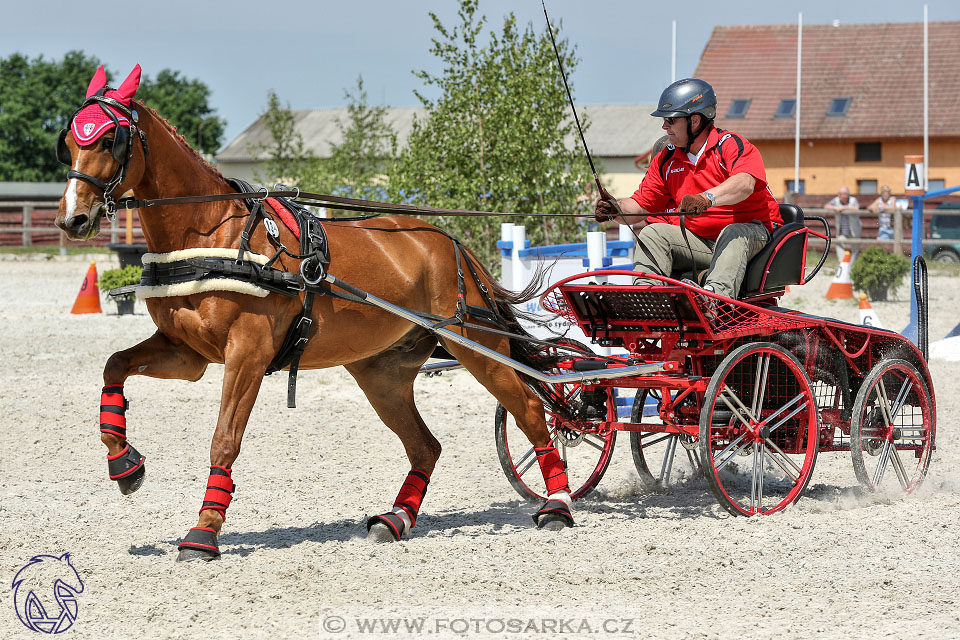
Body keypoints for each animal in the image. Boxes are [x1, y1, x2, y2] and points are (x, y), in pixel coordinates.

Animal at [54, 65, 576, 560]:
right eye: (69, 143)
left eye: (110, 139)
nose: (72, 219)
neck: (212, 232)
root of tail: (449, 242)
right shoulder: (188, 354)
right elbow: (114, 366)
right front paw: (124, 464)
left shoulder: (246, 354)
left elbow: (224, 438)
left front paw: (203, 533)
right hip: (381, 372)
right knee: (426, 445)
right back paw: (396, 519)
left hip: (477, 347)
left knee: (532, 412)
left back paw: (558, 505)